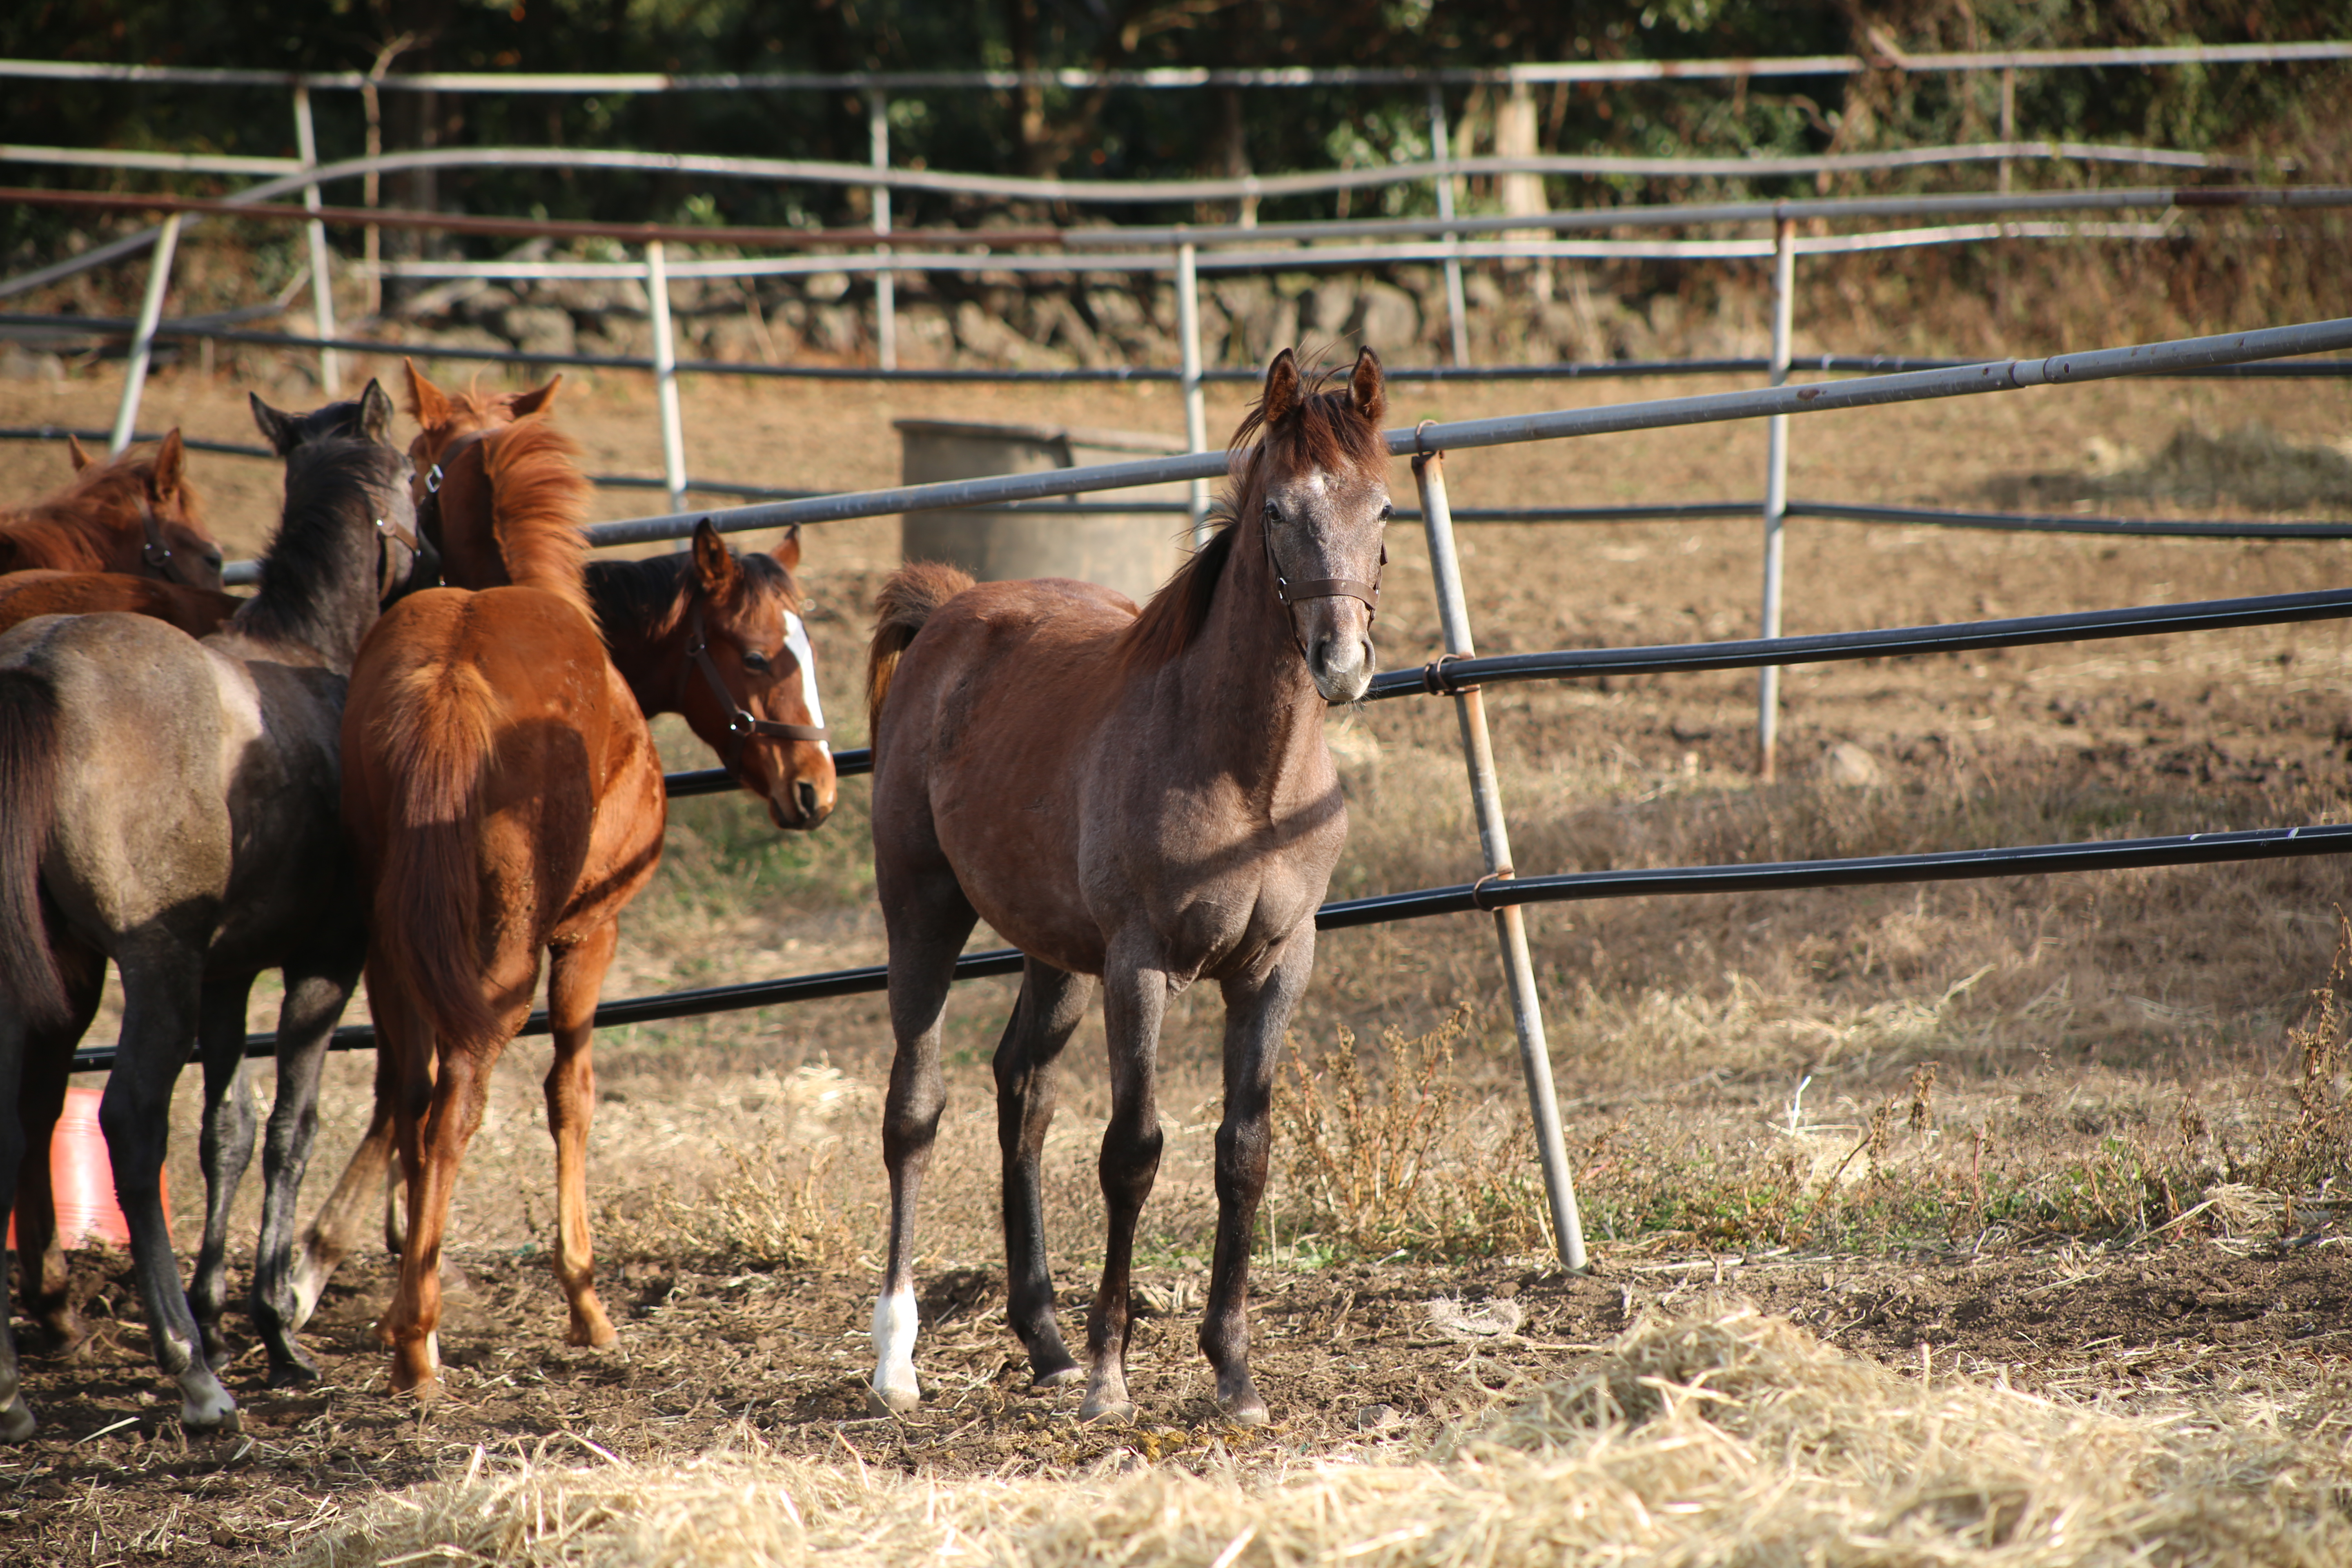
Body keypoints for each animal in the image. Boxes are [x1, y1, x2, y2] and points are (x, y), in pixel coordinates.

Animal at [332, 362, 837, 1392]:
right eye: (759, 654)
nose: (818, 786)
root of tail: (450, 683)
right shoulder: (589, 937)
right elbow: (572, 1097)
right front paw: (586, 1302)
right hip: (504, 959)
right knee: (455, 1107)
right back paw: (419, 1343)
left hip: (393, 948)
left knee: (408, 1093)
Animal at [870, 350, 1383, 1429]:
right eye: (1279, 509)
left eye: (1384, 508)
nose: (1341, 662)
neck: (1245, 774)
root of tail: (951, 608)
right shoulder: (1141, 965)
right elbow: (1133, 1150)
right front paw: (1114, 1374)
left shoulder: (1277, 965)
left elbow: (1243, 1151)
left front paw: (1232, 1373)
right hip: (924, 912)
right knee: (914, 1110)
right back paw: (897, 1359)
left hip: (1059, 955)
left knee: (1021, 1091)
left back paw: (1045, 1340)